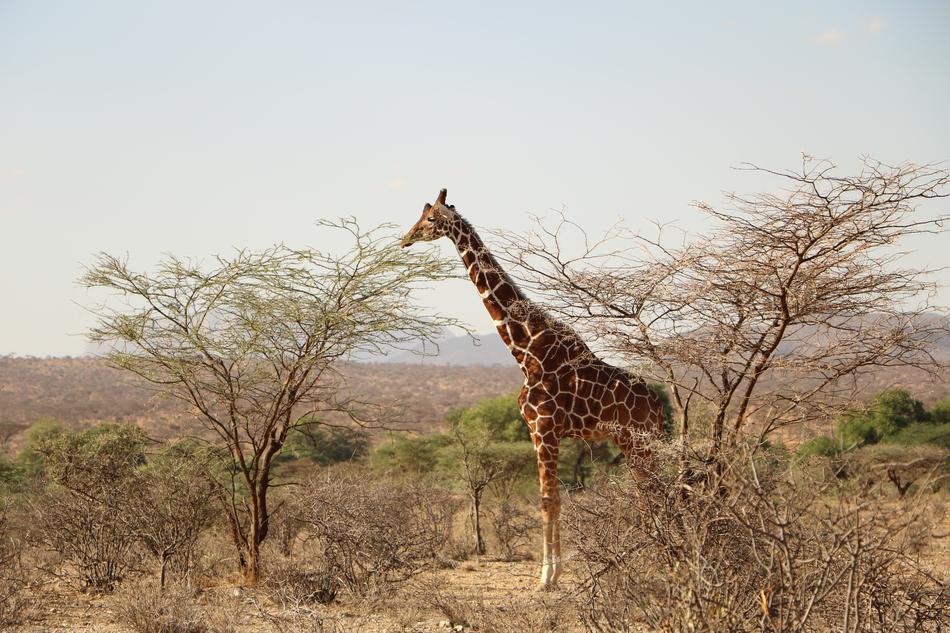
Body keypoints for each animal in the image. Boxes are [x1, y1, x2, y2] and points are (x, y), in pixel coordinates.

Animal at [401, 189, 666, 589]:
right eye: (420, 215)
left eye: (431, 219)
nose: (406, 238)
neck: (525, 348)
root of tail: (658, 404)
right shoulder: (540, 431)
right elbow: (554, 497)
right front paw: (554, 571)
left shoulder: (543, 428)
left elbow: (547, 500)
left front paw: (547, 576)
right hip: (632, 442)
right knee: (649, 491)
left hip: (639, 440)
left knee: (652, 490)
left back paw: (658, 559)